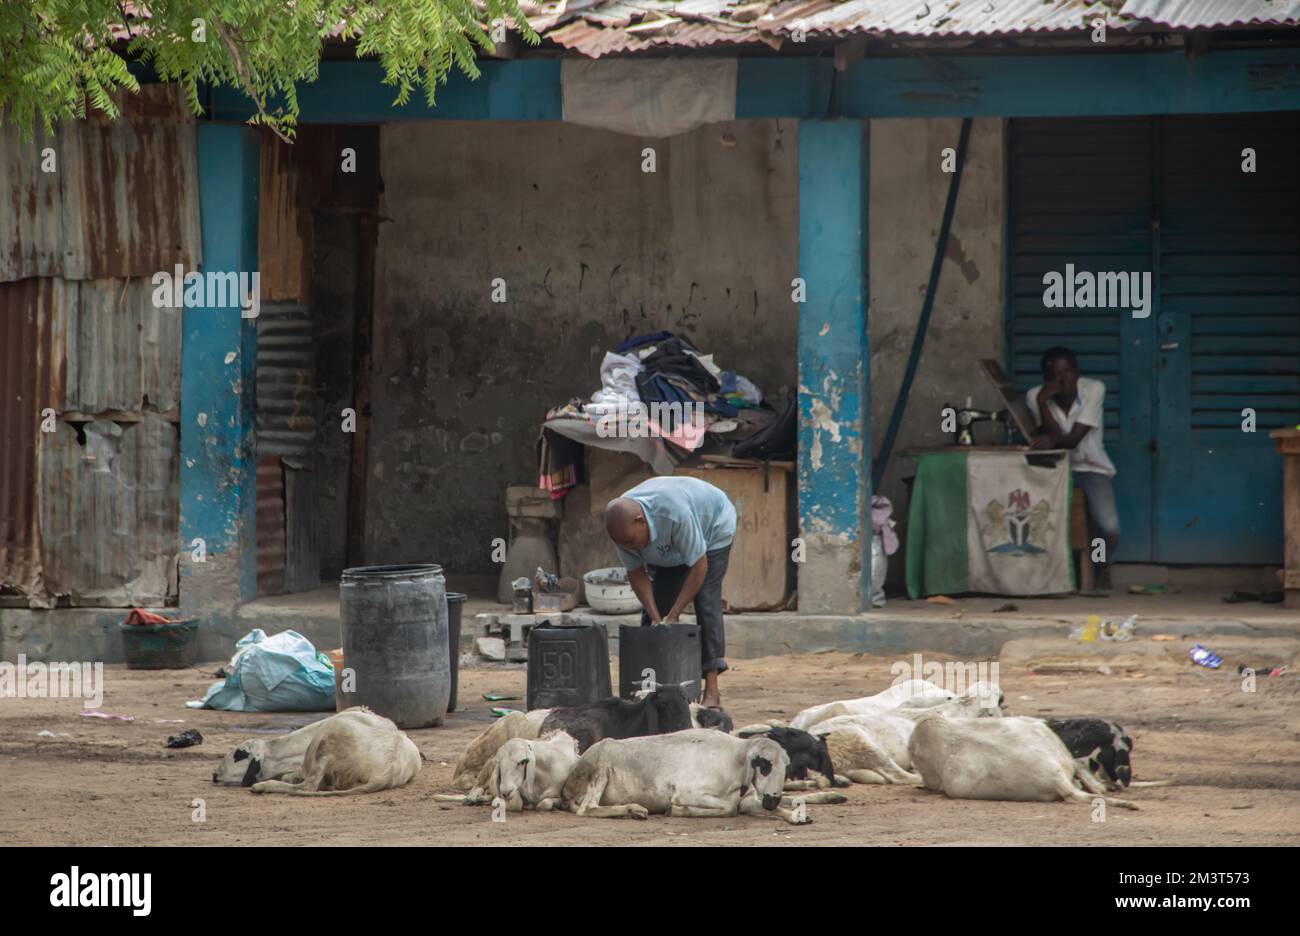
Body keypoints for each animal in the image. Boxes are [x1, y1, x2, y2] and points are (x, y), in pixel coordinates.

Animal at [213, 707, 418, 795]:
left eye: (238, 755)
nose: (214, 775)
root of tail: (386, 772)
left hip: (327, 744)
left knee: (308, 787)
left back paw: (263, 787)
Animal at [564, 728, 806, 821]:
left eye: (786, 767)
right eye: (765, 766)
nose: (773, 801)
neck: (734, 759)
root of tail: (568, 787)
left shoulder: (749, 799)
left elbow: (745, 806)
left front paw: (795, 815)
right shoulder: (686, 793)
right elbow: (730, 809)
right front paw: (678, 810)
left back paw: (635, 810)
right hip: (601, 767)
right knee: (588, 809)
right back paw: (635, 809)